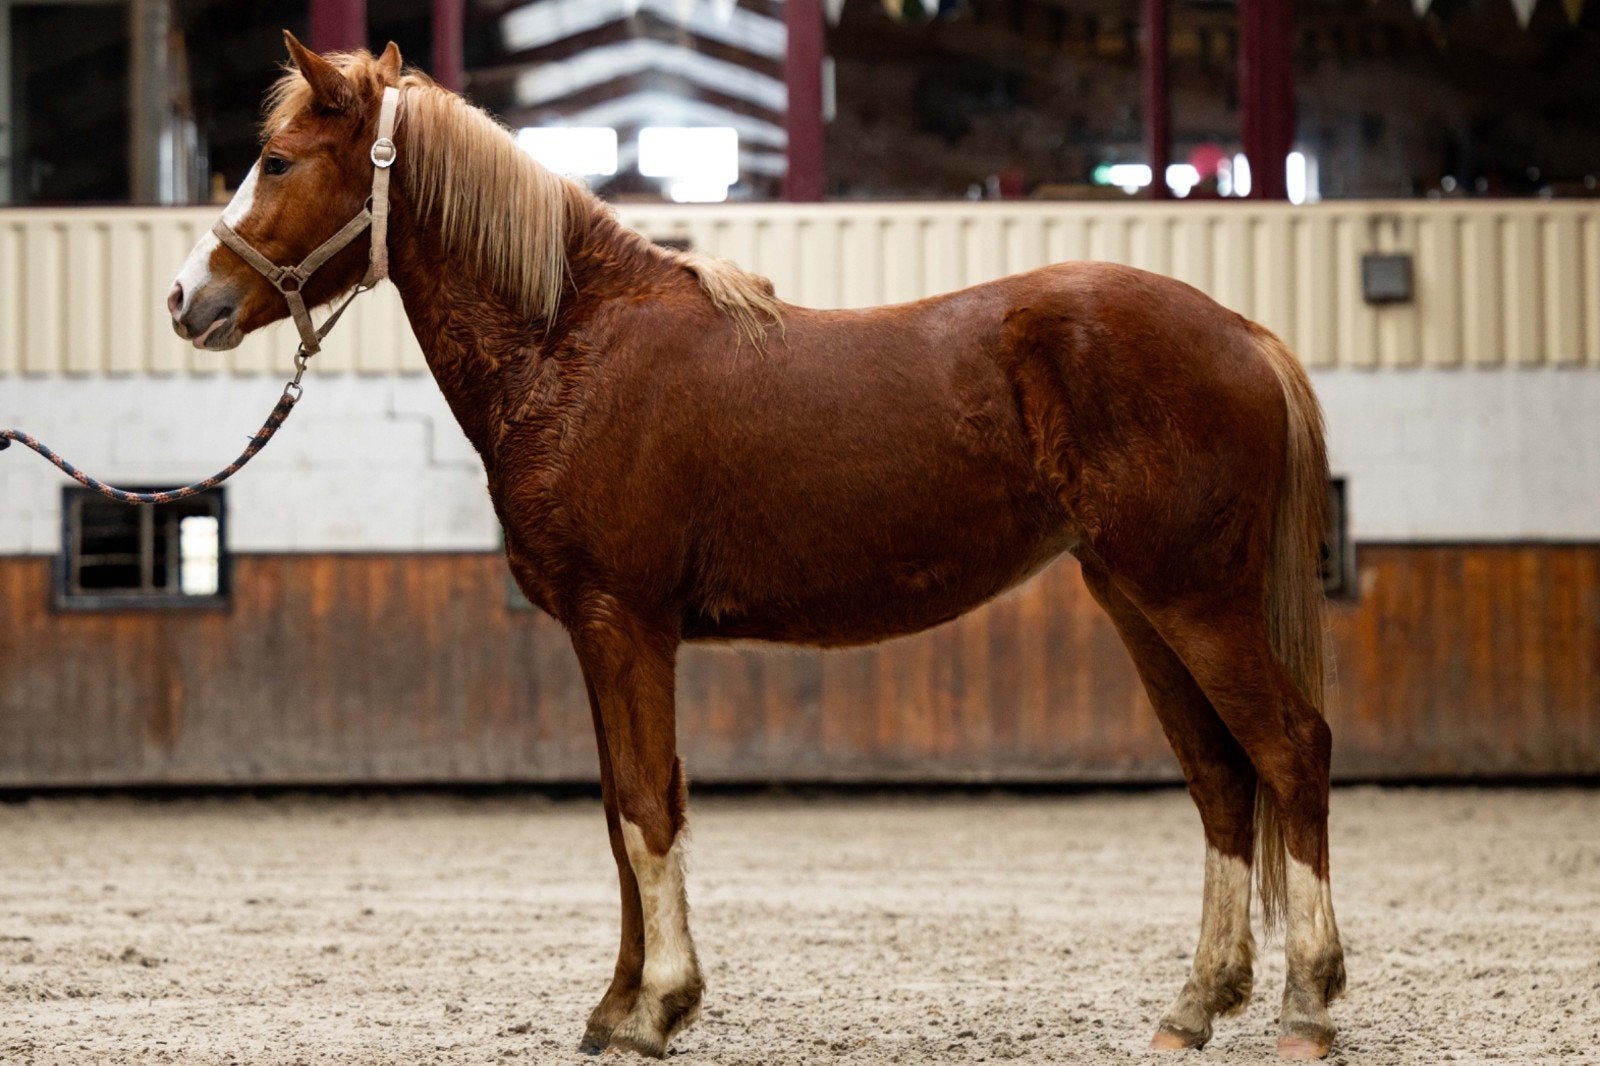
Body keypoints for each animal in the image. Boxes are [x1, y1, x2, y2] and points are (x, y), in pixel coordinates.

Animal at [167, 34, 1346, 1061]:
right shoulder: (601, 635)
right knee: (1220, 779)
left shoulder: (625, 623)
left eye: (277, 160)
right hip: (1135, 599)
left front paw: (657, 1009)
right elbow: (620, 814)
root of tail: (1244, 333)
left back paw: (1308, 1006)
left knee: (1290, 750)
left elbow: (646, 808)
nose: (187, 299)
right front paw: (616, 1007)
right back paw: (1194, 1006)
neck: (572, 344)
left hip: (1194, 598)